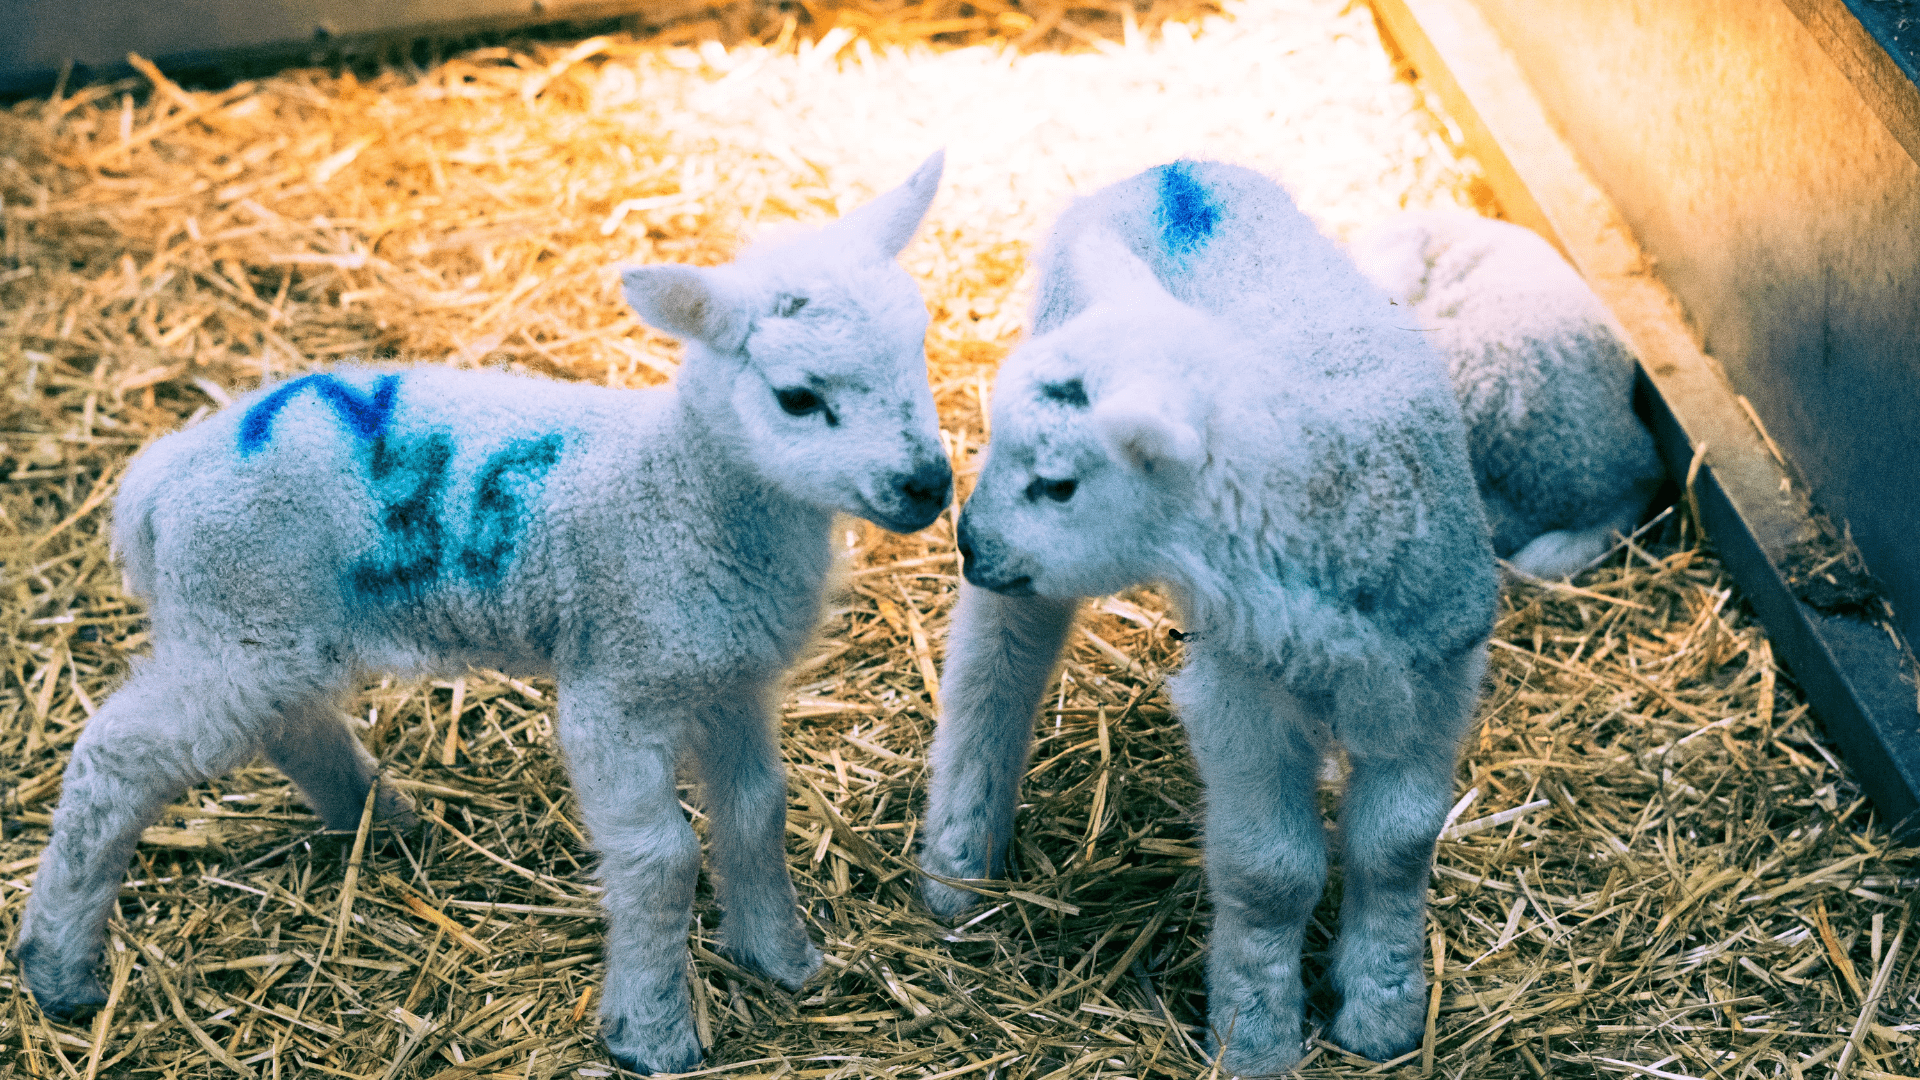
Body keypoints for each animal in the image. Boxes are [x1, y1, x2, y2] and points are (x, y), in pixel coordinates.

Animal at [11, 151, 952, 1074]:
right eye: (797, 397)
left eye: (920, 349)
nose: (929, 485)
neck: (680, 485)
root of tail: (161, 475)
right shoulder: (619, 687)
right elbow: (662, 856)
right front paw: (651, 1032)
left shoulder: (731, 678)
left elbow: (758, 811)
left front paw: (781, 958)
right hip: (238, 617)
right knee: (117, 757)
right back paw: (56, 965)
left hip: (263, 624)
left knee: (290, 720)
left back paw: (378, 815)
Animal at [919, 161, 1498, 1073]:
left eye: (1060, 485)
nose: (968, 541)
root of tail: (1171, 175)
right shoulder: (1240, 693)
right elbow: (1272, 873)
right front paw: (1256, 1034)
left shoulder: (1436, 674)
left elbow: (1400, 843)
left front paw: (1385, 1011)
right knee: (995, 664)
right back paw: (959, 859)